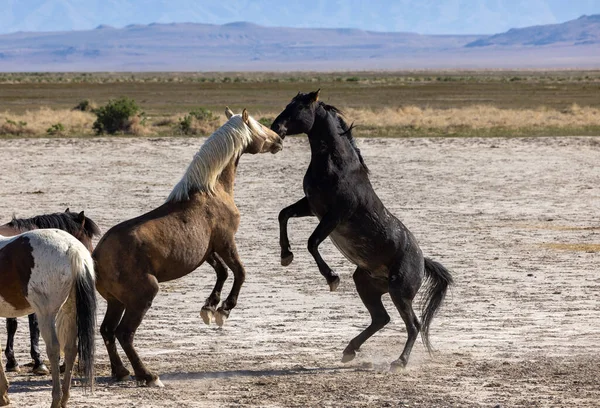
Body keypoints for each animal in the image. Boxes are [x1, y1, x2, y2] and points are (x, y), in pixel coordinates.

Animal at [0, 209, 101, 374]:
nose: (92, 256)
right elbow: (28, 326)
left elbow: (15, 325)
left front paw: (14, 361)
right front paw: (34, 361)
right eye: (87, 237)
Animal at [0, 230, 96, 408]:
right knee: (71, 348)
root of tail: (73, 249)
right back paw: (64, 398)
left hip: (46, 314)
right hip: (70, 311)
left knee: (53, 348)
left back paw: (56, 399)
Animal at [93, 107, 284, 388]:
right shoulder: (226, 242)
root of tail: (96, 256)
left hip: (115, 301)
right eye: (257, 126)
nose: (279, 138)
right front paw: (223, 310)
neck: (212, 190)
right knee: (124, 333)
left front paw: (209, 307)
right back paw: (147, 375)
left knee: (107, 331)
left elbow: (222, 272)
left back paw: (120, 372)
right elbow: (240, 272)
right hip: (142, 297)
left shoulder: (207, 251)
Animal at [272, 91, 454, 372]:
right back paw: (349, 351)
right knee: (381, 318)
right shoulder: (311, 207)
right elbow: (284, 215)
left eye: (300, 108)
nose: (275, 127)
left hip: (400, 292)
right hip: (367, 285)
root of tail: (423, 261)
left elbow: (312, 242)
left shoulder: (335, 215)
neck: (336, 166)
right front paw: (285, 256)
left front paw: (332, 278)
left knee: (413, 324)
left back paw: (399, 362)